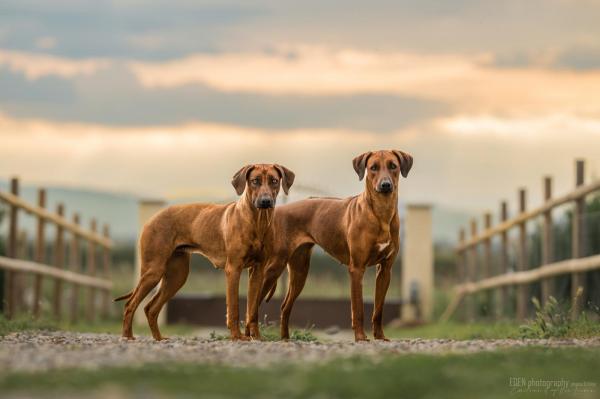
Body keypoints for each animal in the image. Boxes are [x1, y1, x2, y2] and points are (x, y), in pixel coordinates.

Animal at [115, 162, 296, 340]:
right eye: (255, 181)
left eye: (274, 181)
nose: (265, 201)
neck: (258, 221)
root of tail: (151, 218)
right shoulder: (233, 269)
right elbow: (234, 307)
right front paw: (237, 336)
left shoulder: (258, 271)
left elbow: (252, 309)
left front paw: (256, 337)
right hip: (154, 270)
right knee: (130, 304)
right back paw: (127, 337)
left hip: (177, 276)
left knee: (150, 308)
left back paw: (158, 338)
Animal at [258, 152, 412, 342]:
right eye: (373, 167)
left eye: (393, 166)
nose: (385, 185)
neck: (380, 212)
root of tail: (279, 210)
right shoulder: (357, 269)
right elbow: (358, 309)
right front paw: (360, 337)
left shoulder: (385, 270)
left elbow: (378, 310)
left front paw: (380, 336)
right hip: (274, 267)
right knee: (253, 302)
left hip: (300, 271)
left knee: (285, 307)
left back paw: (286, 339)